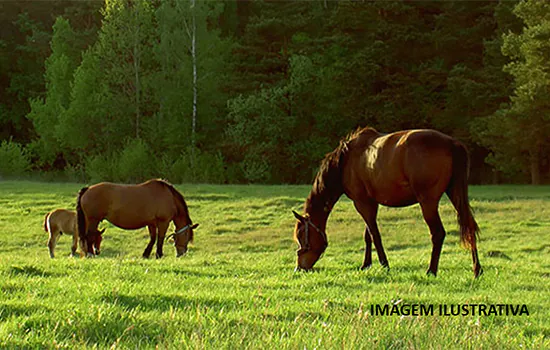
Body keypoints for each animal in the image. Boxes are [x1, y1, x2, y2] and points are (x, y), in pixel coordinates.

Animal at [294, 127, 484, 278]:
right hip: (455, 194)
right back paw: (477, 269)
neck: (345, 160)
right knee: (469, 226)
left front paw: (384, 264)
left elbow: (375, 235)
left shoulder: (362, 203)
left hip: (428, 202)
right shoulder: (371, 202)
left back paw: (431, 270)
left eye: (302, 236)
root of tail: (452, 144)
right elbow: (368, 235)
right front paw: (366, 264)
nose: (299, 268)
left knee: (438, 233)